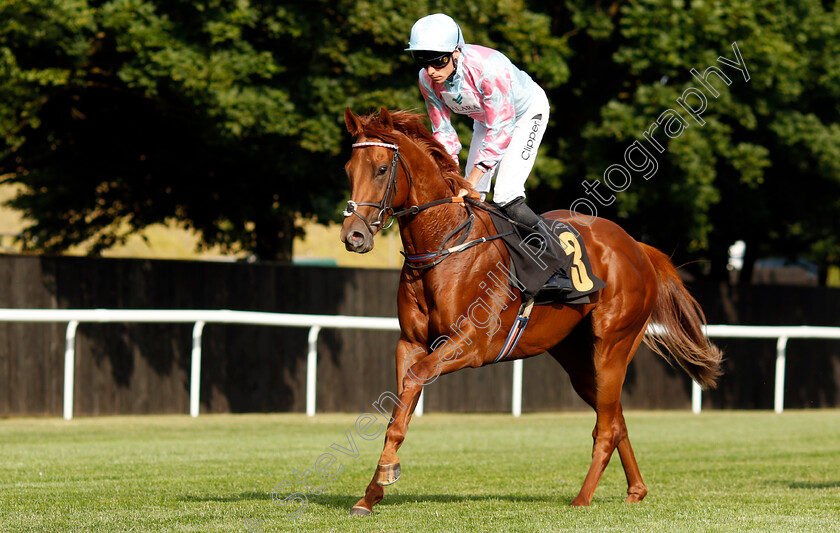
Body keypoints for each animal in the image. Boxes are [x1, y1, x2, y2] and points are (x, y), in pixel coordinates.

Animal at [342, 106, 720, 512]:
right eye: (349, 168)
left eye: (382, 169)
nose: (353, 236)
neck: (444, 245)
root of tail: (637, 246)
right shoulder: (410, 343)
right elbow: (400, 407)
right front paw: (371, 492)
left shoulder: (469, 345)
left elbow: (414, 382)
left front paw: (385, 472)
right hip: (577, 358)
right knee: (615, 419)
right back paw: (636, 490)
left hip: (614, 344)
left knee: (606, 427)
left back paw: (583, 498)